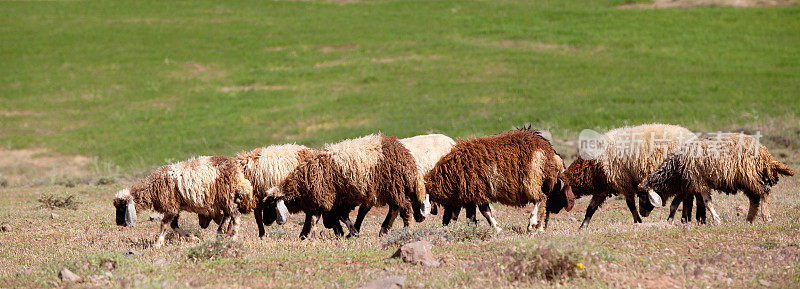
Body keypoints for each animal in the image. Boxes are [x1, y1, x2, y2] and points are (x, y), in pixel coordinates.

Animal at [112, 155, 255, 248]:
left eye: (121, 207)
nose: (118, 222)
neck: (152, 188)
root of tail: (237, 174)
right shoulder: (175, 207)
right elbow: (174, 226)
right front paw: (193, 238)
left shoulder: (170, 206)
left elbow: (164, 225)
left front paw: (157, 244)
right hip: (223, 199)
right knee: (227, 215)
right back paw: (220, 234)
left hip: (226, 195)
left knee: (235, 215)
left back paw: (233, 237)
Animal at [268, 133, 432, 238]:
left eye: (270, 206)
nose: (267, 222)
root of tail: (405, 154)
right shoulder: (333, 200)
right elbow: (331, 217)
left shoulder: (326, 197)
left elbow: (322, 218)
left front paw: (351, 233)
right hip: (392, 188)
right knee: (395, 208)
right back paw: (384, 230)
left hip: (393, 186)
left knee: (403, 207)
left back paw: (406, 230)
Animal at [424, 127, 576, 233]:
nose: (444, 224)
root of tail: (549, 151)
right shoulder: (470, 194)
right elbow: (471, 215)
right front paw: (473, 228)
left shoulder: (477, 191)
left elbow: (484, 212)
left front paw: (497, 228)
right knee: (544, 201)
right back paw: (539, 226)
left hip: (532, 180)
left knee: (541, 199)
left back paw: (533, 225)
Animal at [564, 122, 692, 228]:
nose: (644, 214)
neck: (594, 166)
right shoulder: (603, 188)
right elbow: (591, 208)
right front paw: (582, 227)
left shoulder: (624, 183)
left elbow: (631, 206)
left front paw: (638, 221)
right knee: (686, 198)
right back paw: (684, 219)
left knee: (681, 198)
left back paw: (676, 219)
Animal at [636, 132, 792, 224]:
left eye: (643, 196)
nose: (642, 214)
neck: (675, 170)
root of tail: (765, 153)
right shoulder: (687, 184)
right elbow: (674, 204)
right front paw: (669, 221)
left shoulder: (698, 182)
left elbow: (707, 202)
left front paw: (717, 220)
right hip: (747, 180)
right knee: (754, 198)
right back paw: (749, 220)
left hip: (750, 175)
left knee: (765, 192)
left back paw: (766, 217)